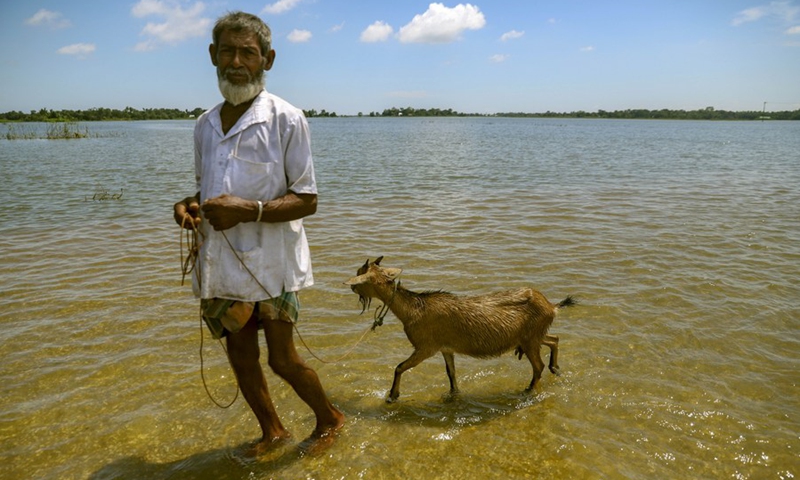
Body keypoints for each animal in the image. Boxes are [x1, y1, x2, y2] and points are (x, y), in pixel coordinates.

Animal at [344, 256, 576, 402]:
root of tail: (552, 307)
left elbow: (399, 367)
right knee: (554, 339)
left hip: (529, 339)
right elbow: (451, 373)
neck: (413, 309)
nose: (352, 287)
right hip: (531, 336)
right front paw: (453, 394)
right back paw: (556, 368)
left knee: (538, 365)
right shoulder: (446, 348)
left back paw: (528, 390)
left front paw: (392, 396)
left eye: (359, 274)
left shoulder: (426, 347)